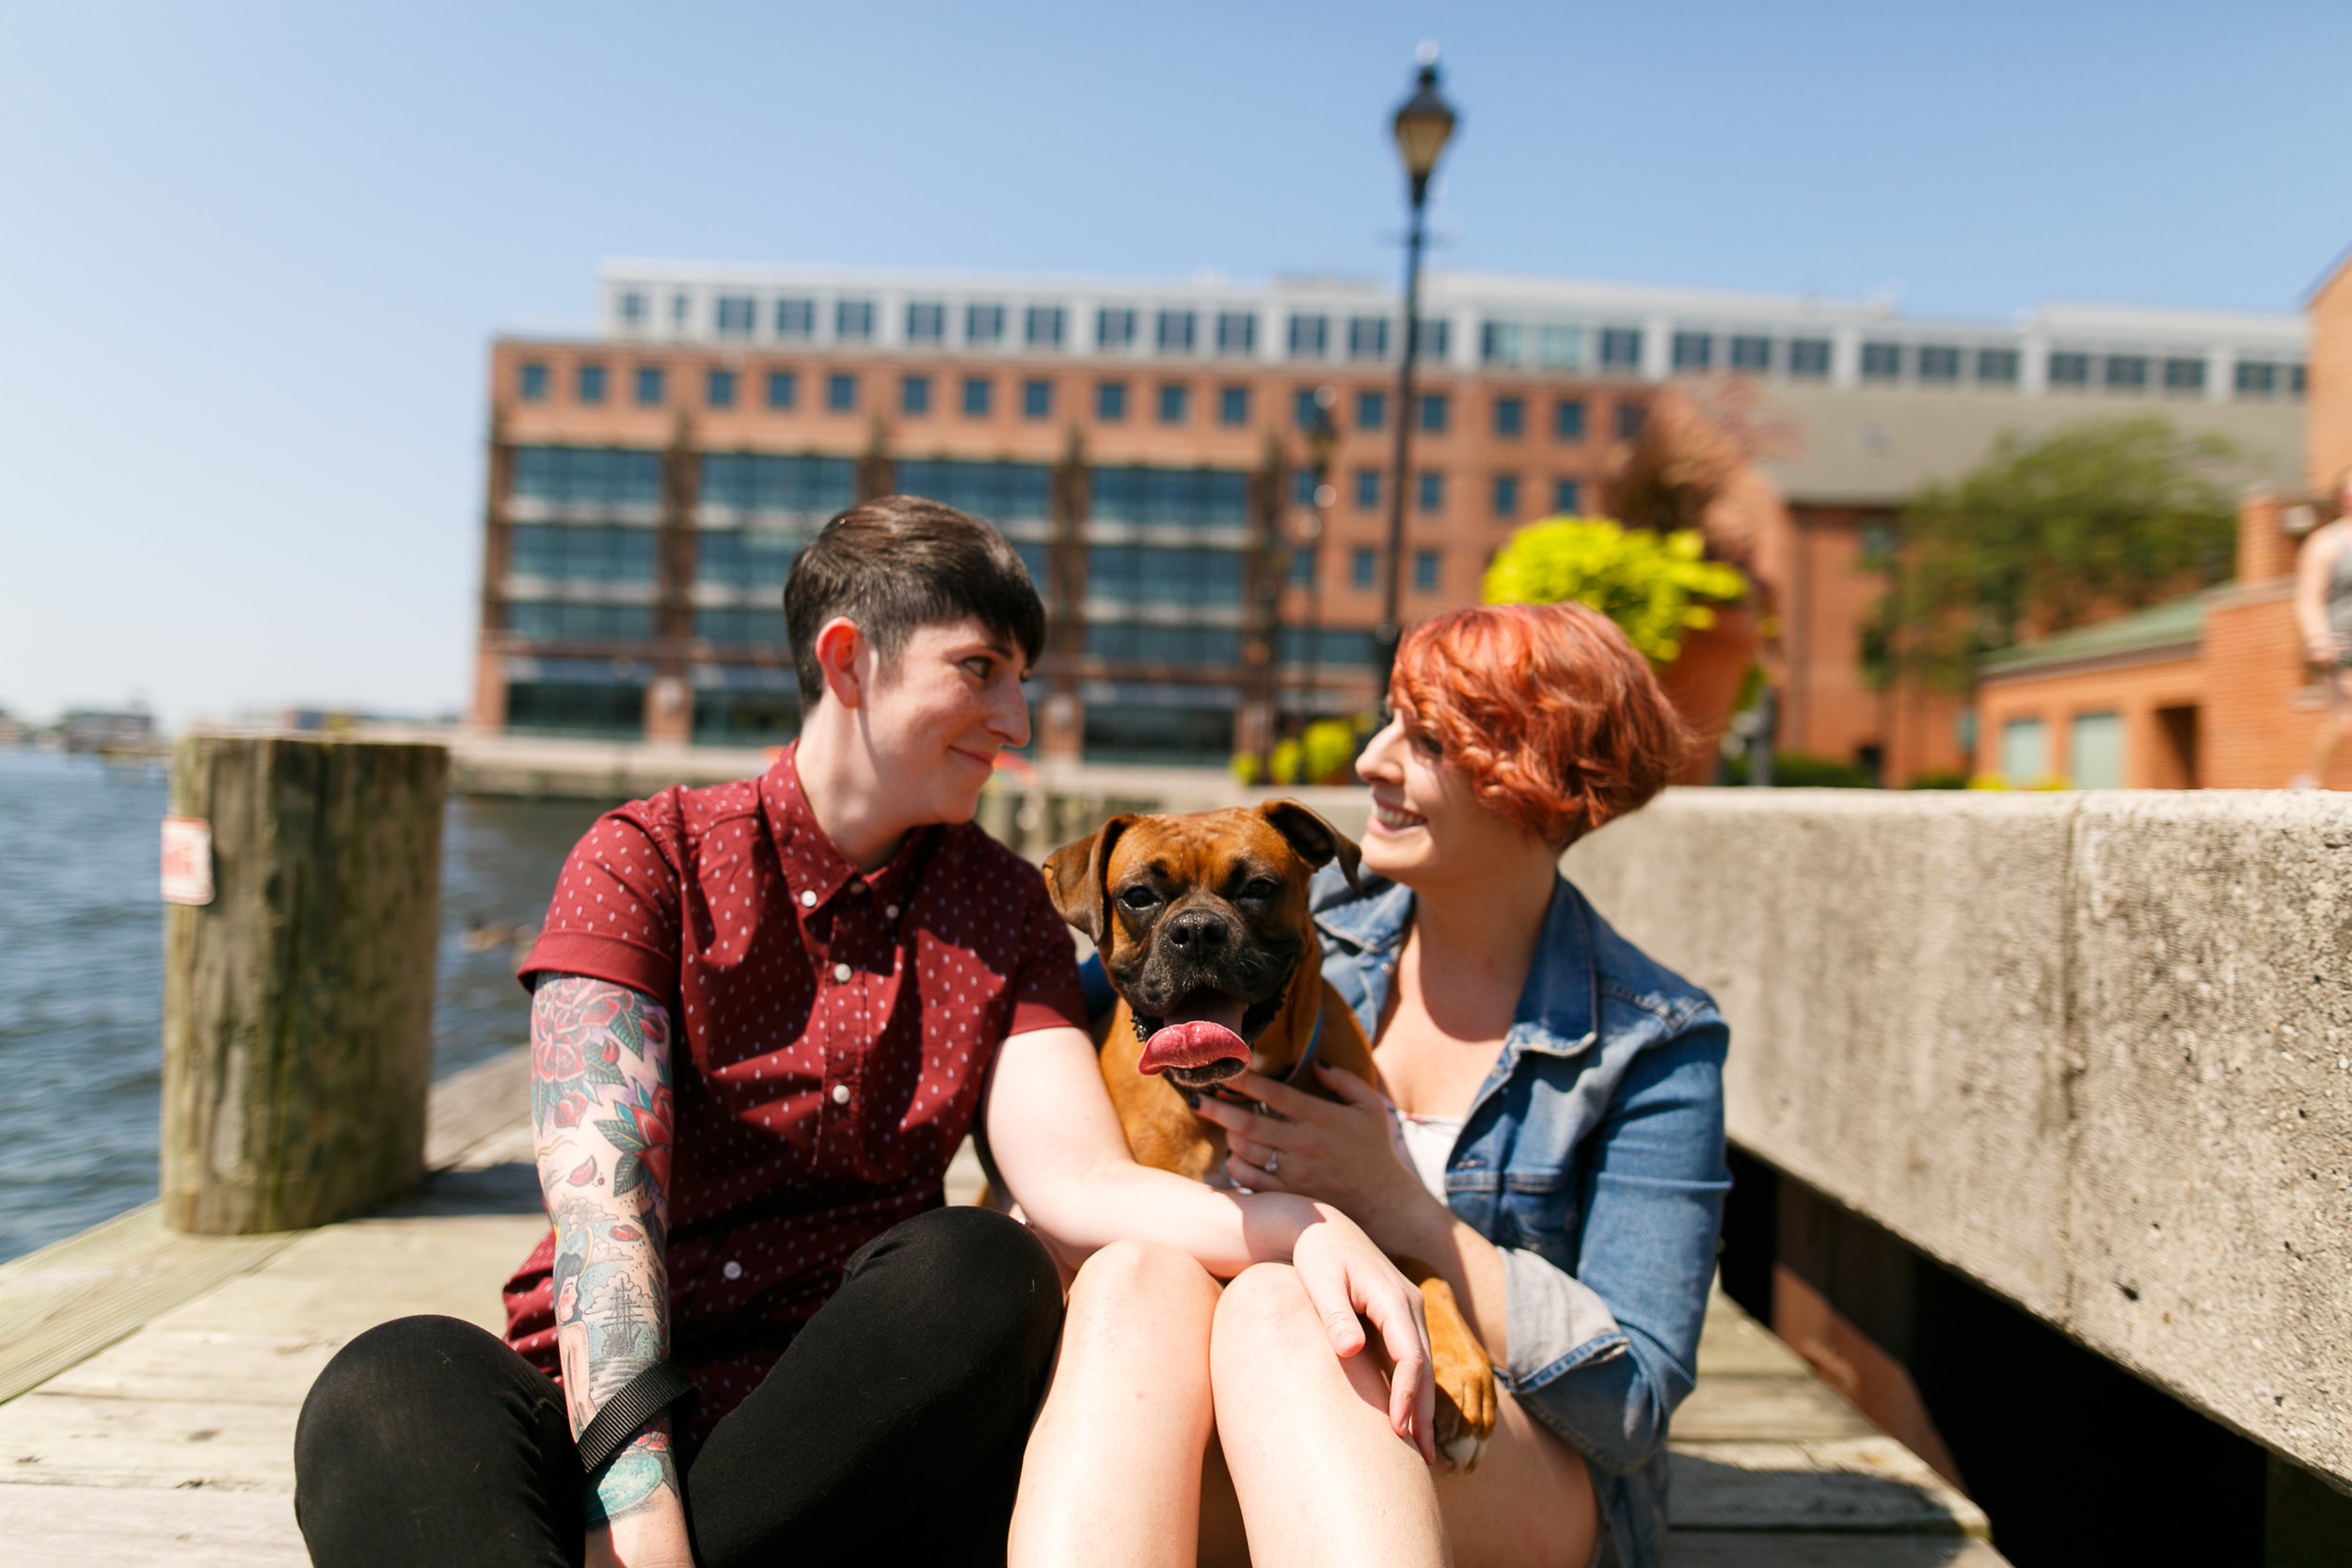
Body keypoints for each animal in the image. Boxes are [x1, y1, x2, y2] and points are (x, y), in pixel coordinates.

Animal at [1044, 803, 1496, 1476]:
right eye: (1139, 897)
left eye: (1258, 887)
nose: (1197, 930)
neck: (1239, 1092)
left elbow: (1421, 1267)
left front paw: (1463, 1368)